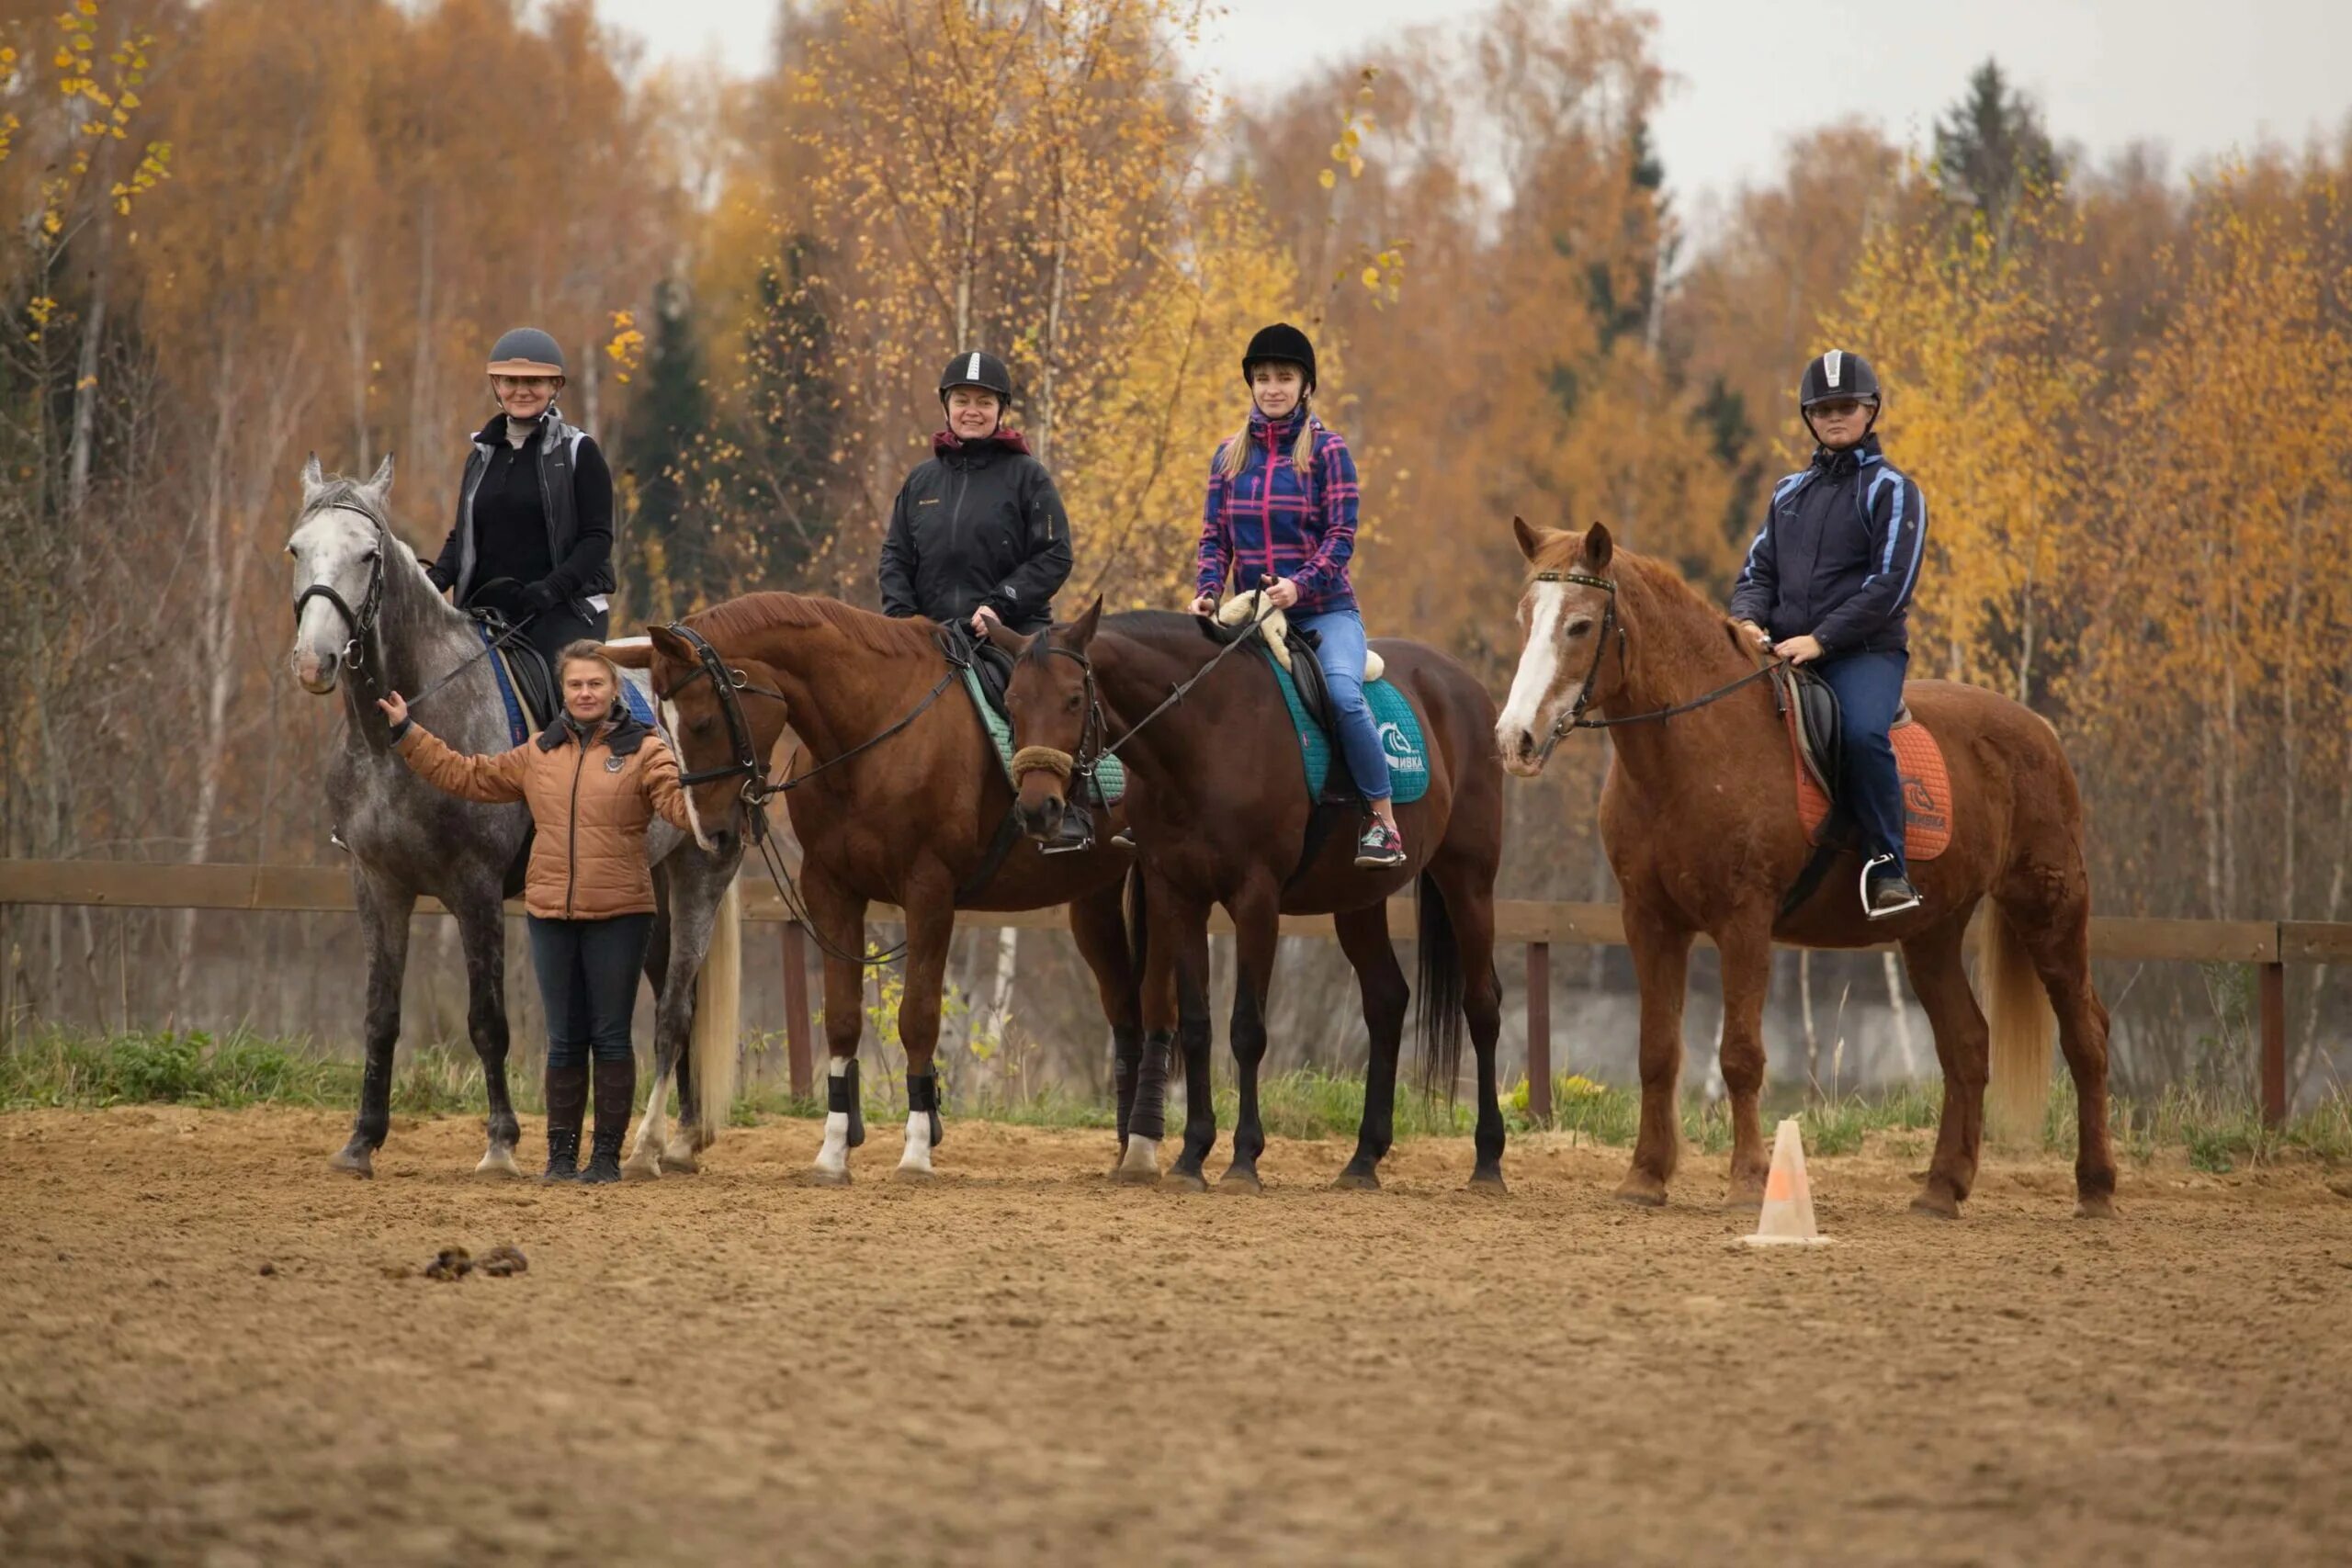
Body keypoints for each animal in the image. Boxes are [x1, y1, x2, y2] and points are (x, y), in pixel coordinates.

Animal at [287, 453, 742, 1175]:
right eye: (297, 549)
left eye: (367, 554)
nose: (315, 661)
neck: (397, 735)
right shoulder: (377, 885)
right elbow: (380, 1016)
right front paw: (361, 1141)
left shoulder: (474, 889)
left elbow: (486, 1020)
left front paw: (500, 1143)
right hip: (651, 885)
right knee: (685, 999)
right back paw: (682, 1138)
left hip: (701, 872)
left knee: (674, 1008)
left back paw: (657, 1146)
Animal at [620, 594, 1143, 1184]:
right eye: (664, 729)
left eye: (704, 722)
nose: (711, 834)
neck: (875, 734)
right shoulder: (830, 891)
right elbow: (843, 1021)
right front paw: (832, 1154)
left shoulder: (929, 892)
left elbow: (917, 1018)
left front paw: (915, 1152)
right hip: (1097, 901)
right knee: (1127, 1011)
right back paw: (1128, 1150)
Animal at [992, 606, 1505, 1194]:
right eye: (1011, 701)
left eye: (1074, 698)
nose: (1038, 809)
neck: (1204, 735)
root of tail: (1464, 683)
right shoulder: (1179, 896)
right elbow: (1196, 1025)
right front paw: (1191, 1157)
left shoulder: (1256, 900)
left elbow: (1247, 1030)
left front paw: (1243, 1159)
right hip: (1357, 900)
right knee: (1386, 1000)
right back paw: (1362, 1161)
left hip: (1469, 878)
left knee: (1482, 1004)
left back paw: (1488, 1161)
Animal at [1486, 522, 2117, 1222]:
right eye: (1525, 617)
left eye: (1580, 624)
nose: (1515, 739)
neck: (1694, 750)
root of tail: (2039, 730)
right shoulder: (1649, 920)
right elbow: (1657, 1051)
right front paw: (1645, 1177)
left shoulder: (1744, 920)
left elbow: (1739, 1056)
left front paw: (1747, 1182)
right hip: (1932, 930)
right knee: (1967, 1045)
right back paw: (1941, 1189)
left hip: (2049, 906)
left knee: (2085, 1036)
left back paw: (2095, 1187)